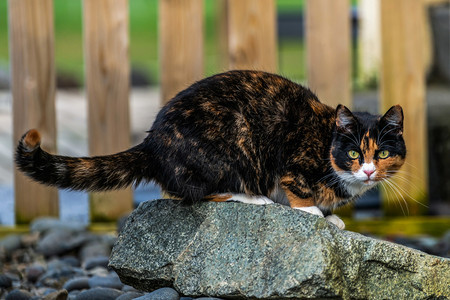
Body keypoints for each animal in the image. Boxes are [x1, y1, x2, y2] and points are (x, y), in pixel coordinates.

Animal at [15, 71, 406, 230]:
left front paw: (331, 216)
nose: (368, 170)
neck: (326, 143)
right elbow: (296, 187)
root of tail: (153, 142)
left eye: (383, 154)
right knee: (188, 193)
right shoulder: (292, 159)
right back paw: (252, 198)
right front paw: (313, 212)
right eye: (354, 154)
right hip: (231, 144)